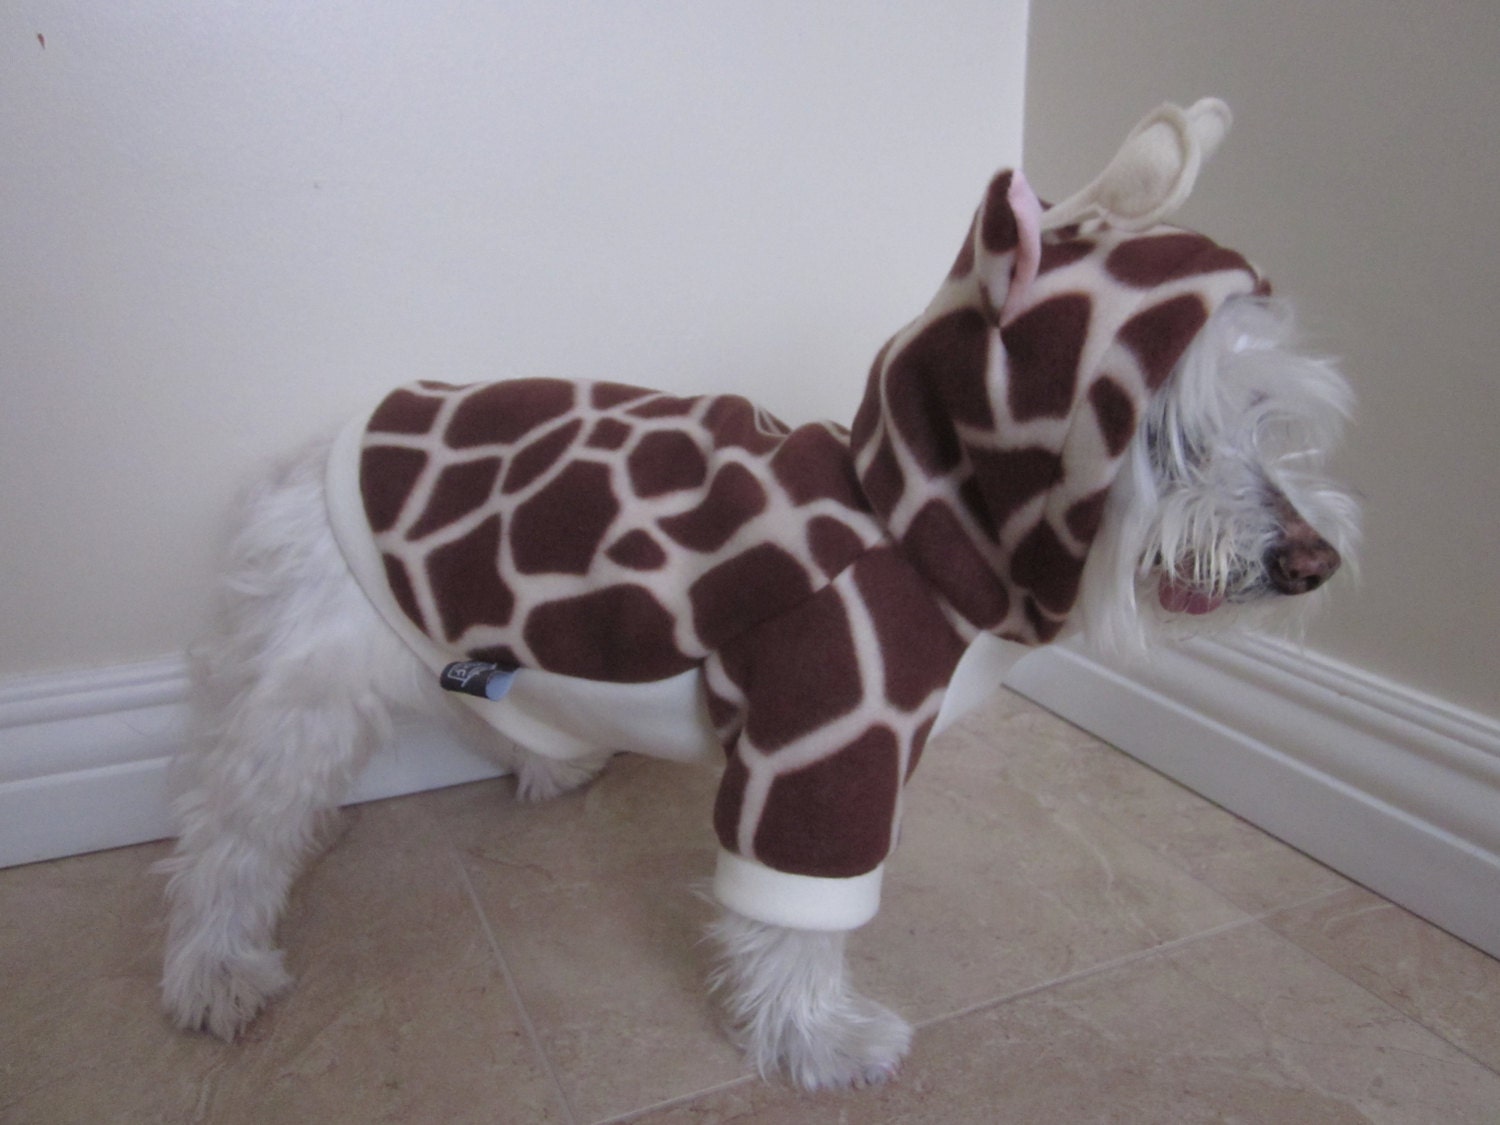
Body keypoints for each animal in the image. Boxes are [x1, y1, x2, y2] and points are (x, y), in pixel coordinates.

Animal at [326, 101, 1262, 931]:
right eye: (1172, 440)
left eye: (1263, 418)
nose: (1294, 554)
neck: (908, 523)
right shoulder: (828, 724)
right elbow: (795, 917)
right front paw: (825, 1023)